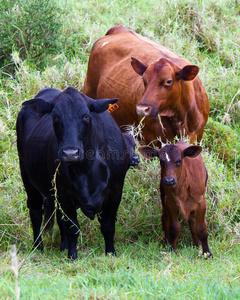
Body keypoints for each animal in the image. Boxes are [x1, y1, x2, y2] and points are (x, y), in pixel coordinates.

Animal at [15, 86, 138, 258]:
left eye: (86, 116)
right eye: (55, 116)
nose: (70, 153)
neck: (86, 170)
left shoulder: (115, 192)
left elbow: (108, 226)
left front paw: (110, 253)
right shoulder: (64, 194)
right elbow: (73, 228)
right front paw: (72, 256)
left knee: (58, 217)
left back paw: (63, 246)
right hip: (27, 177)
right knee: (35, 211)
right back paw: (38, 247)